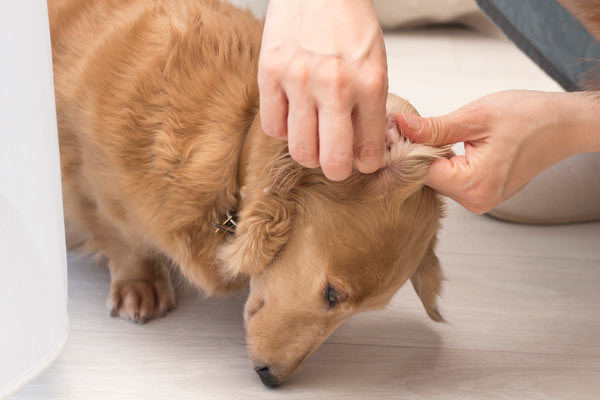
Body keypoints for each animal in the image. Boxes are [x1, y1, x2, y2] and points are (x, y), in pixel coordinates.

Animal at [48, 0, 450, 388]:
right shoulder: (89, 174)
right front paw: (140, 283)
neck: (242, 131)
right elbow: (123, 237)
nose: (270, 379)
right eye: (332, 293)